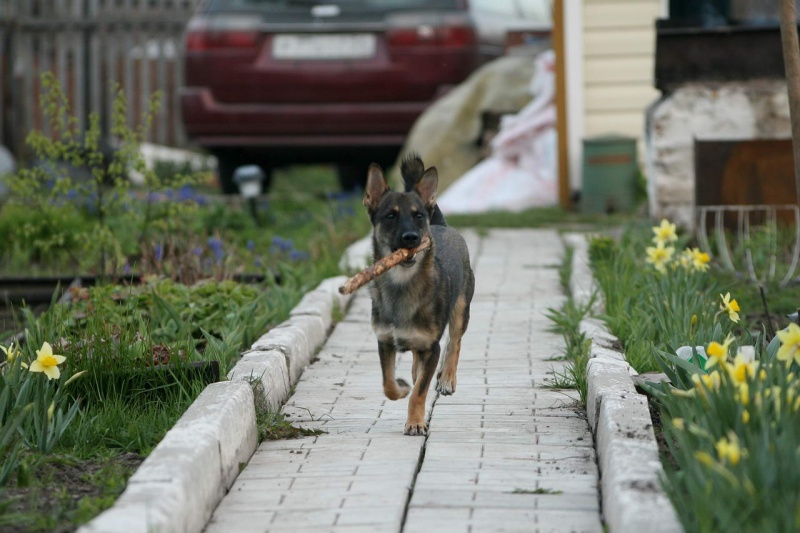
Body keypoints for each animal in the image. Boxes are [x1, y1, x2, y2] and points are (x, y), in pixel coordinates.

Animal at [362, 154, 475, 436]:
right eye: (390, 216)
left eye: (418, 216)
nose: (412, 238)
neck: (403, 284)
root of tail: (440, 225)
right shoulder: (384, 342)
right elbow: (388, 384)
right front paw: (402, 387)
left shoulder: (432, 347)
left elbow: (421, 392)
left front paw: (415, 422)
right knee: (417, 359)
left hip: (461, 309)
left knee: (455, 342)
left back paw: (447, 378)